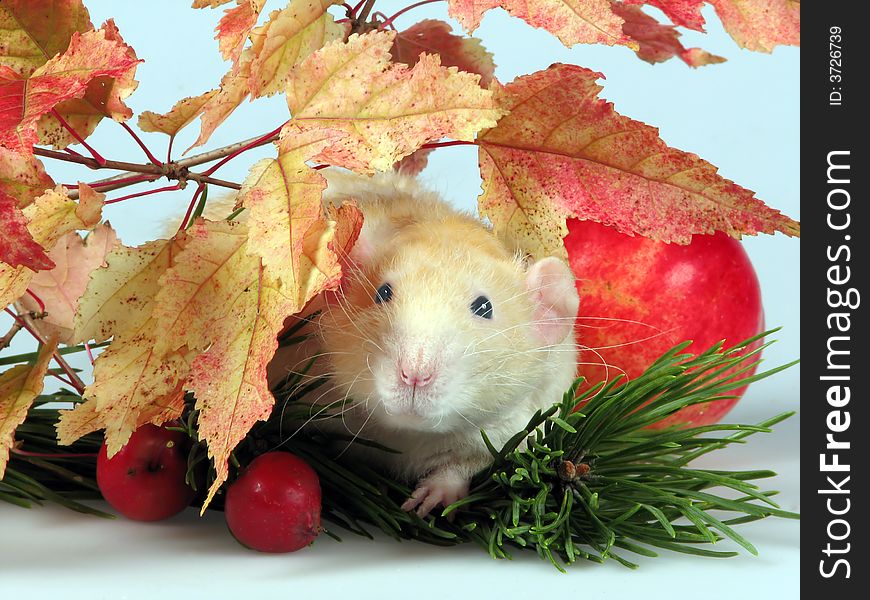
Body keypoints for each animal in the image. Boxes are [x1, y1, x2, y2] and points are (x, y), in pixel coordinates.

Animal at [266, 171, 580, 516]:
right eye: (383, 293)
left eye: (484, 307)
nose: (415, 374)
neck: (407, 434)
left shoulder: (517, 423)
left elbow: (476, 461)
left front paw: (439, 490)